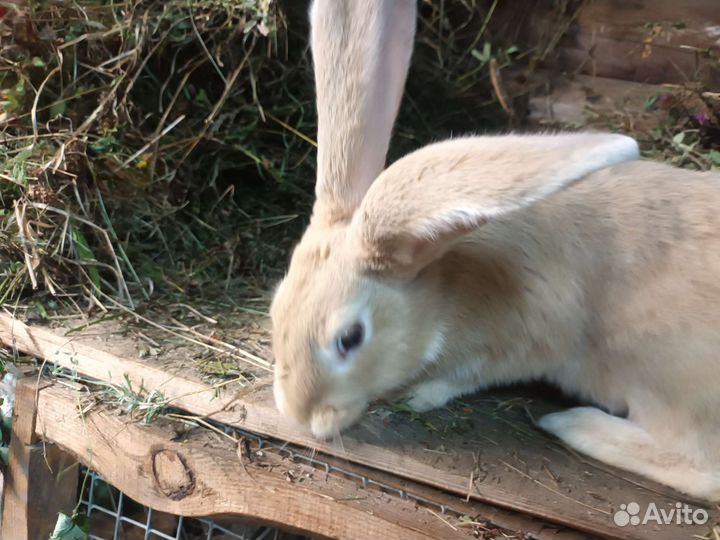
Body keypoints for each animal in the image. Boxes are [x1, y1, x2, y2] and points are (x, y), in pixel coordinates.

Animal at [269, 0, 720, 501]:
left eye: (350, 338)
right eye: (275, 307)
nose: (298, 414)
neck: (447, 274)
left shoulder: (523, 338)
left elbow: (464, 375)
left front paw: (418, 394)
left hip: (670, 388)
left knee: (702, 468)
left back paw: (571, 423)